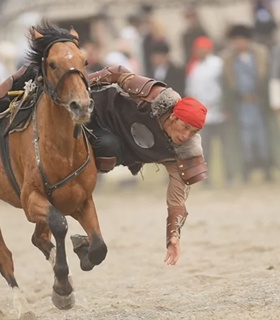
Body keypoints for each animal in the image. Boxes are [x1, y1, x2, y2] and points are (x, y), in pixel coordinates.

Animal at [0, 21, 107, 318]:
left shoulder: (82, 198)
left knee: (38, 238)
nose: (81, 106)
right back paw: (23, 306)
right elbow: (59, 224)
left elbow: (99, 247)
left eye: (84, 61)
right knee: (5, 256)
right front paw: (61, 287)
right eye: (53, 64)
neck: (60, 149)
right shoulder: (30, 199)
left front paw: (82, 251)